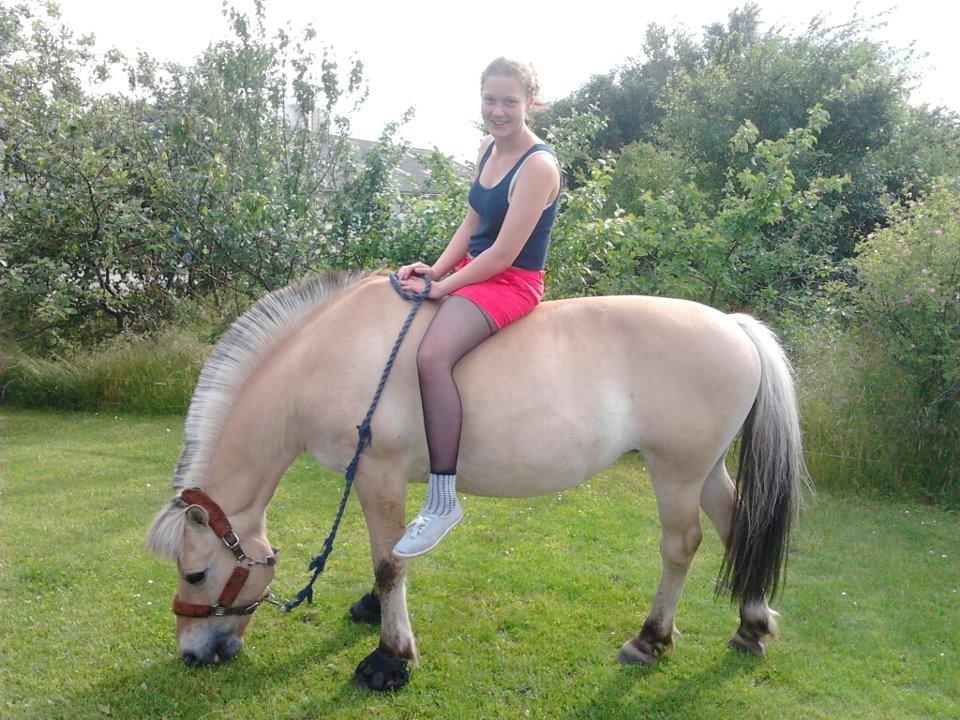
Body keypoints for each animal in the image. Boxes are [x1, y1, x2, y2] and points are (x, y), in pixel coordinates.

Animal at [146, 270, 806, 690]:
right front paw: (372, 612)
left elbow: (389, 561)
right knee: (736, 525)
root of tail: (734, 326)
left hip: (675, 469)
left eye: (196, 573)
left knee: (682, 544)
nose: (190, 654)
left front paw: (390, 659)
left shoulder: (380, 472)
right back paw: (751, 626)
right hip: (705, 468)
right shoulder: (376, 478)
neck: (324, 357)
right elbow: (385, 556)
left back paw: (651, 639)